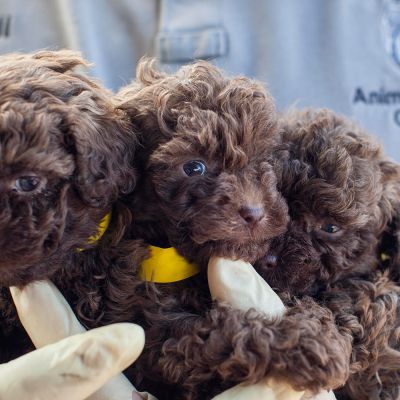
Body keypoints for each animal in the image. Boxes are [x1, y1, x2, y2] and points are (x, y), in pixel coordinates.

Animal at [114, 64, 352, 398]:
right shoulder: (155, 331)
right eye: (194, 168)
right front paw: (309, 344)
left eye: (263, 159)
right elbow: (220, 332)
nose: (255, 212)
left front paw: (317, 324)